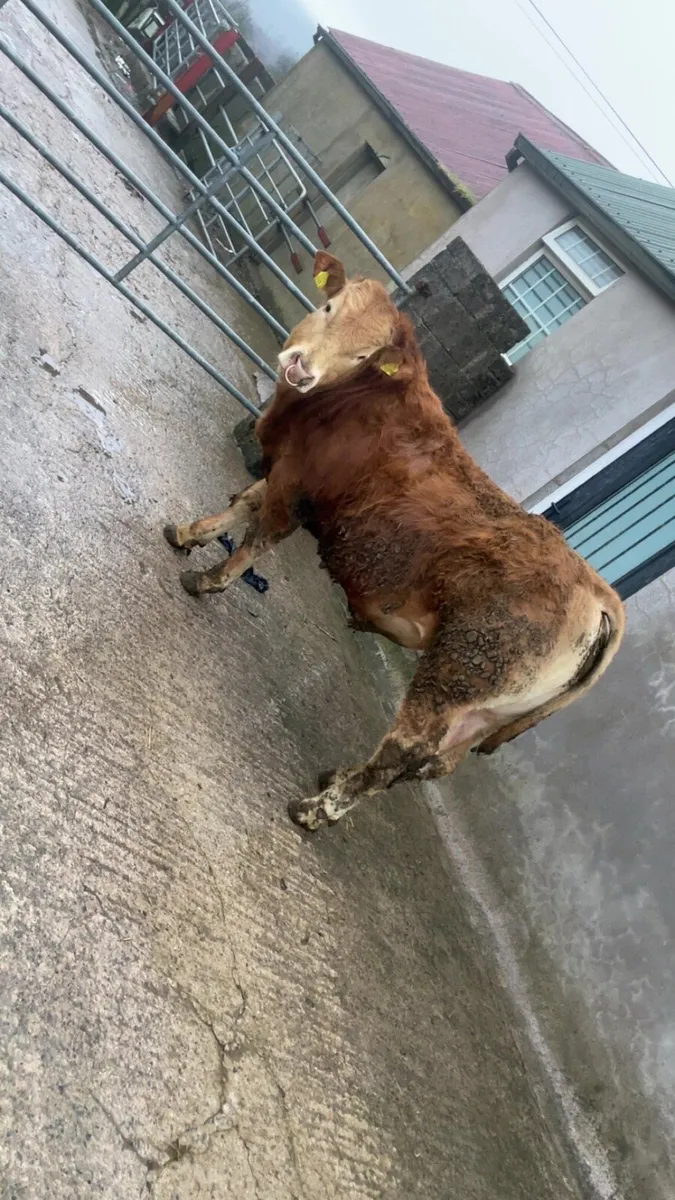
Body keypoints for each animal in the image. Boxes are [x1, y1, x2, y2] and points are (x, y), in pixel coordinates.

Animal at [164, 252, 625, 832]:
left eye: (363, 354)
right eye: (329, 307)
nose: (302, 367)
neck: (345, 398)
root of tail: (599, 592)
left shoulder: (294, 486)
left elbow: (255, 537)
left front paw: (208, 581)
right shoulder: (284, 473)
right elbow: (240, 504)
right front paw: (187, 534)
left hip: (455, 676)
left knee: (403, 751)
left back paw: (315, 810)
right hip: (484, 713)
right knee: (428, 764)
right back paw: (337, 780)